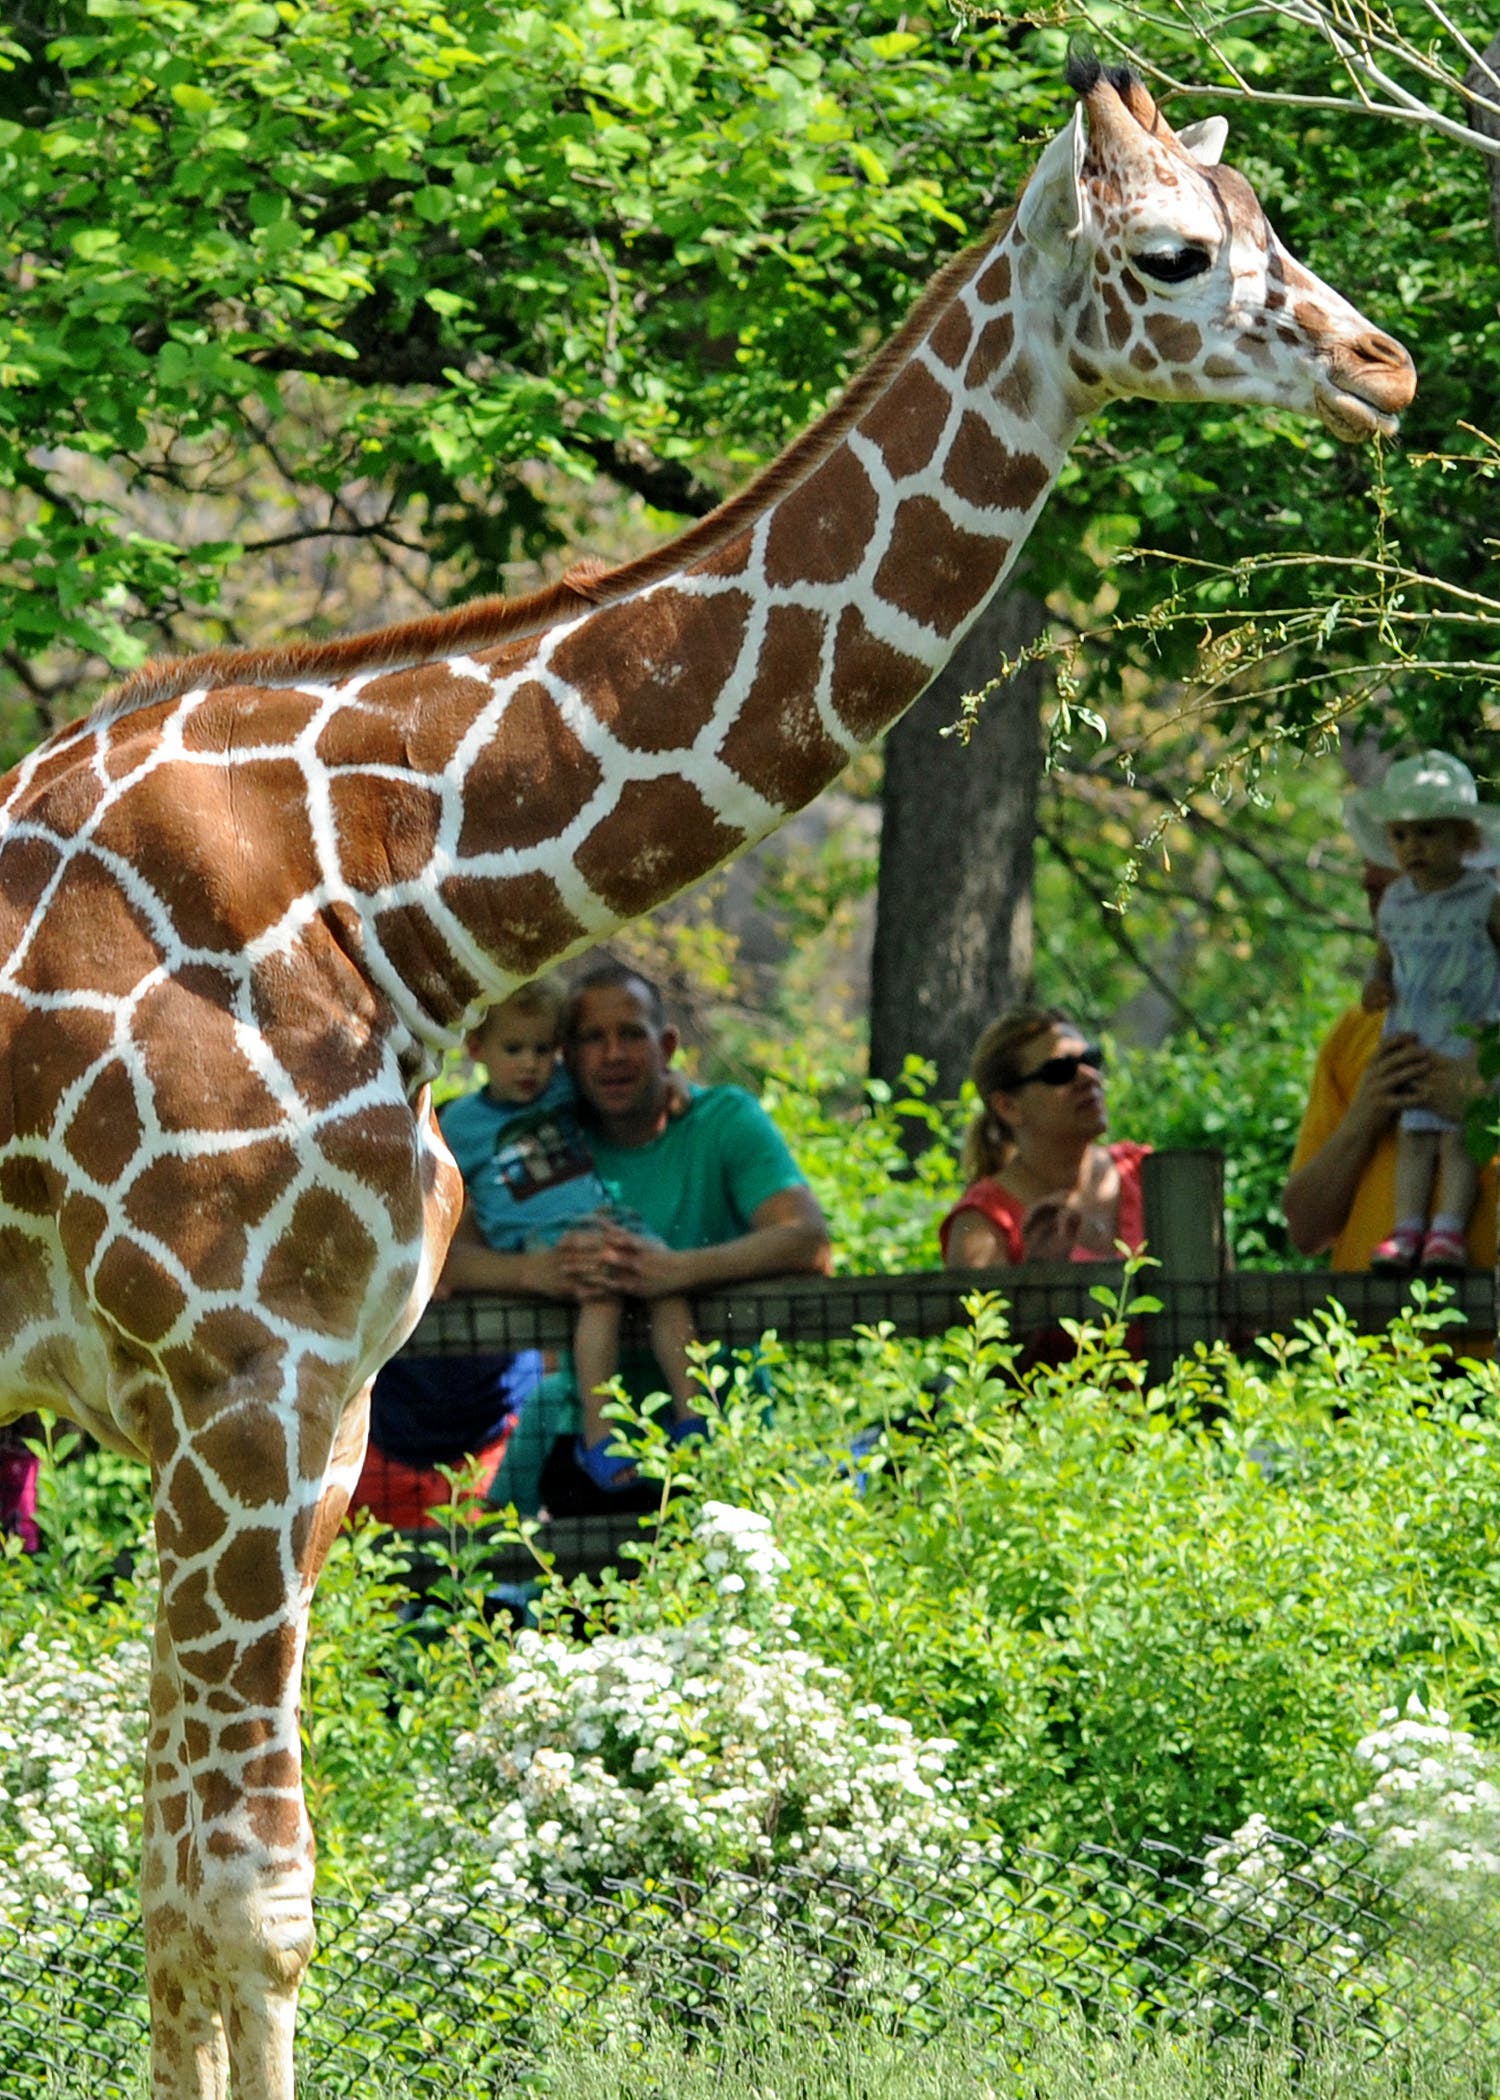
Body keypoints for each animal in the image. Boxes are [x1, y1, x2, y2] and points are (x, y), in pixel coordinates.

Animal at [0, 56, 1413, 2100]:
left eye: (1276, 225)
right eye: (1174, 252)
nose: (1388, 367)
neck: (402, 901)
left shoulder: (314, 1414)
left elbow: (188, 1893)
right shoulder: (233, 1388)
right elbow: (242, 1901)